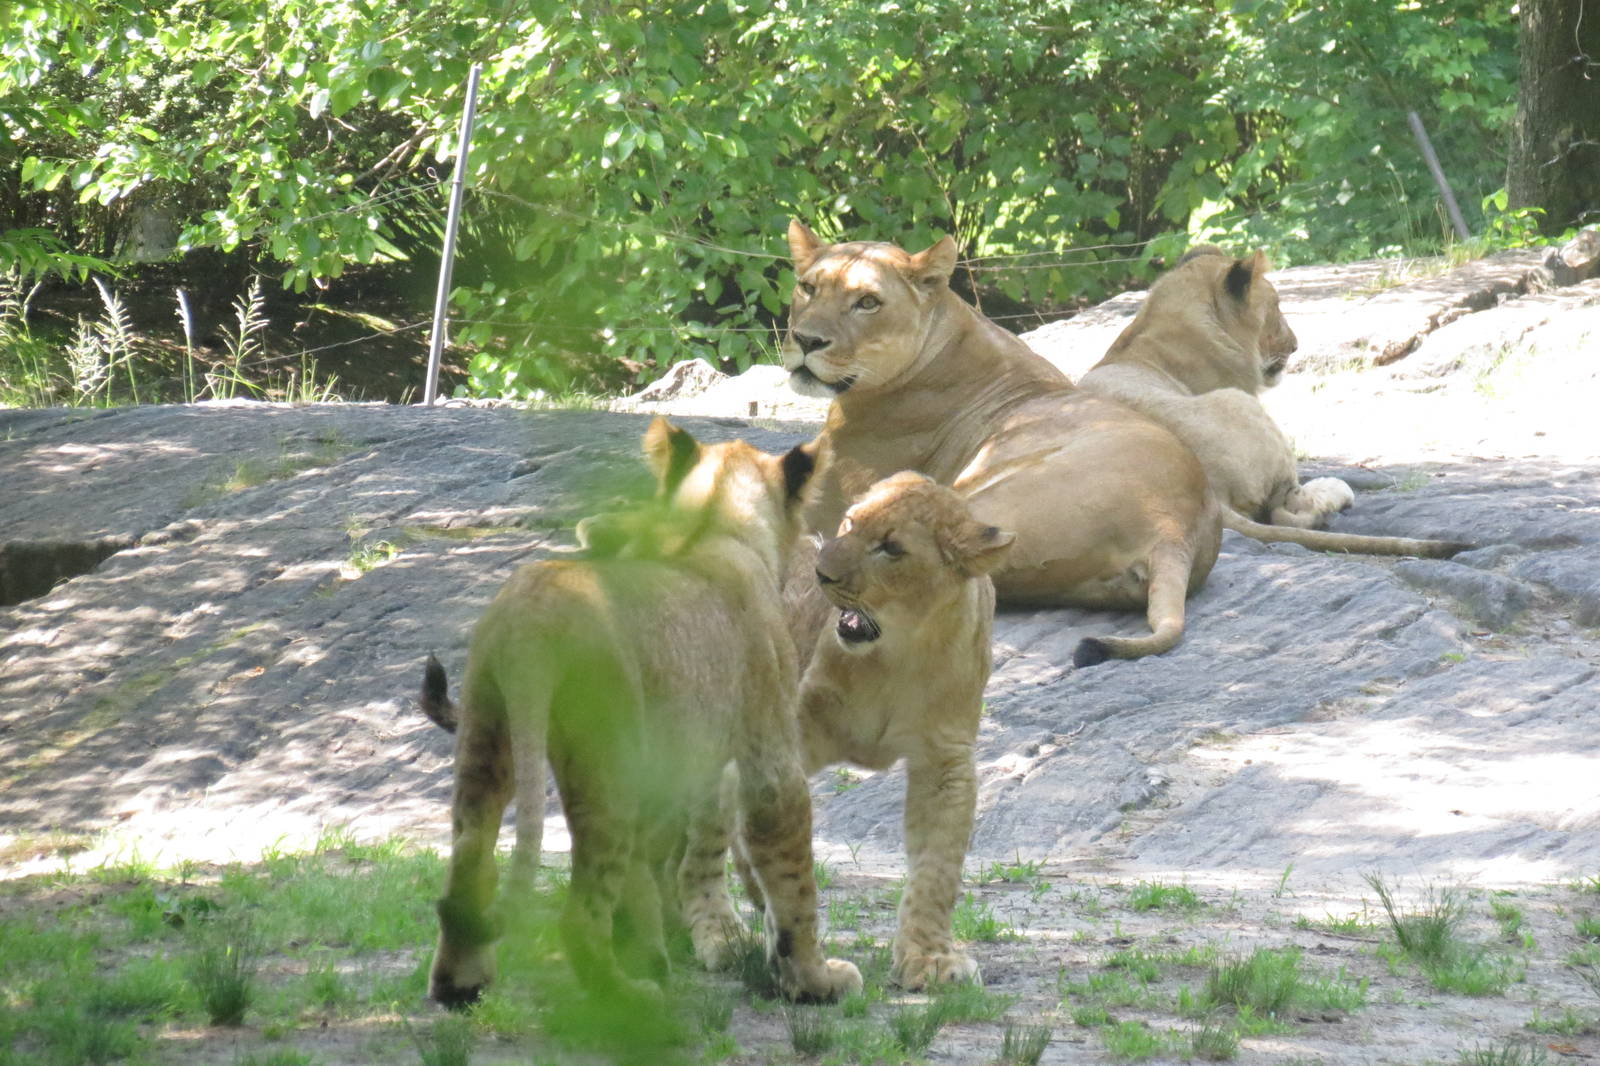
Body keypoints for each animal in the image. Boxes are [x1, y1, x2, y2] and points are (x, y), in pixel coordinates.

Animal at [423, 416, 861, 1008]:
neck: (712, 522)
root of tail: (534, 620)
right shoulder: (768, 754)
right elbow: (791, 875)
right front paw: (816, 979)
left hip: (488, 734)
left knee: (468, 861)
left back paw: (459, 984)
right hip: (609, 762)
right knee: (581, 912)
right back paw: (629, 994)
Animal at [677, 470, 1014, 990]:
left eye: (891, 548)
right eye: (850, 523)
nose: (822, 575)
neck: (898, 653)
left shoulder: (945, 759)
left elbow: (937, 868)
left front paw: (930, 956)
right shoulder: (789, 735)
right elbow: (775, 846)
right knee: (702, 843)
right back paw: (721, 934)